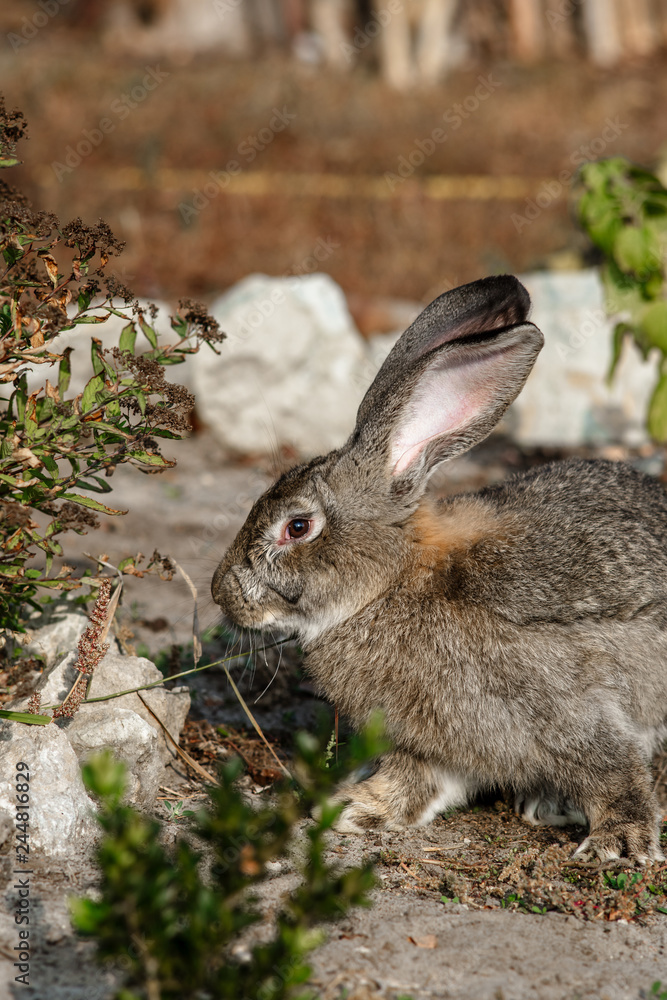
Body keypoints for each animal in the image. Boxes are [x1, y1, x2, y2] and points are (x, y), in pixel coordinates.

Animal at [211, 274, 667, 864]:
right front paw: (355, 807)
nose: (221, 593)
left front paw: (620, 842)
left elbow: (612, 766)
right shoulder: (436, 743)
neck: (390, 585)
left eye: (298, 527)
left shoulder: (569, 707)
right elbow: (418, 782)